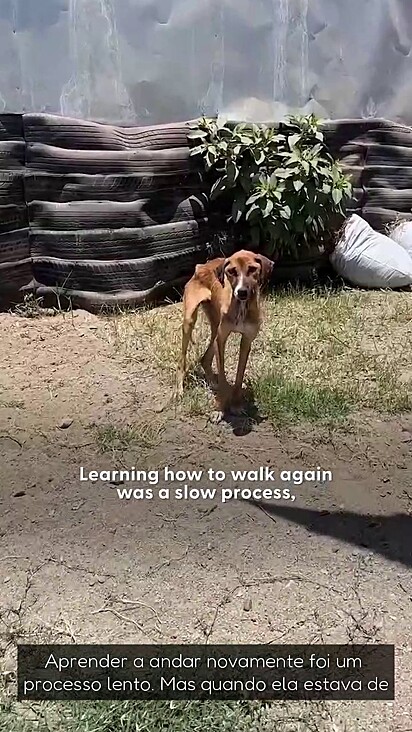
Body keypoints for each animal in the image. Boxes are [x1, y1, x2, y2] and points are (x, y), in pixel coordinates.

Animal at [176, 250, 274, 412]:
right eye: (232, 271)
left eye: (252, 269)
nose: (241, 292)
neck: (241, 308)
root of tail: (201, 266)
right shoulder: (221, 340)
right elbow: (222, 374)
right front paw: (220, 407)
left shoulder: (246, 341)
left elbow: (239, 375)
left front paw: (236, 404)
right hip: (189, 322)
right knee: (182, 361)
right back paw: (179, 389)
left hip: (215, 326)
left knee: (204, 359)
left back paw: (212, 382)